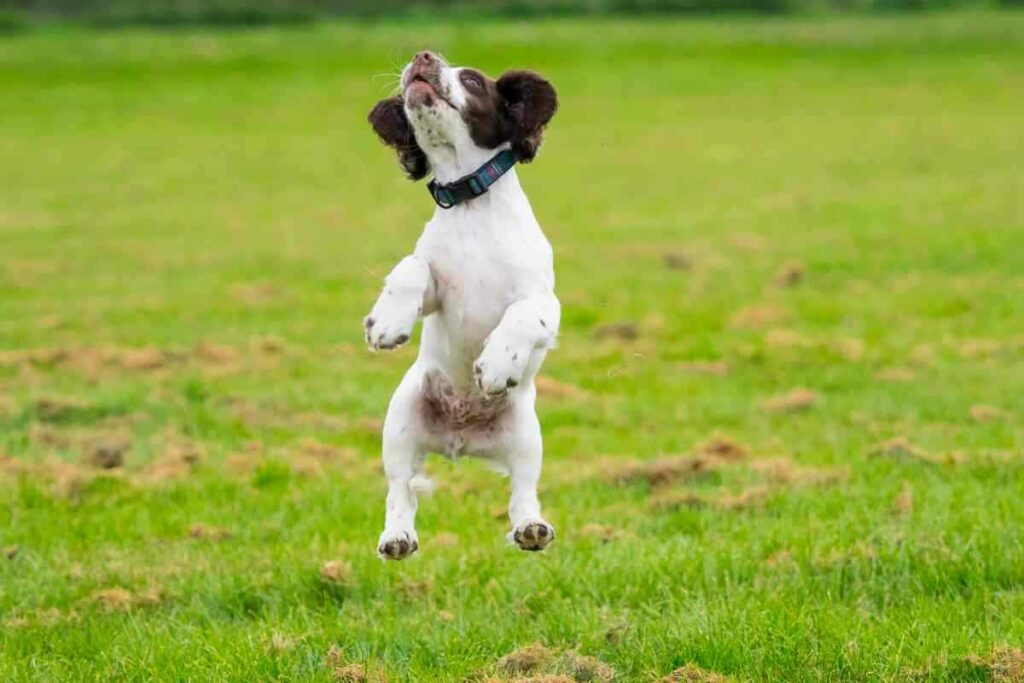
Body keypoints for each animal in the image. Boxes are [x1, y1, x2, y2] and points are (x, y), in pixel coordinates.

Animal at [366, 52, 561, 561]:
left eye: (472, 80)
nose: (423, 57)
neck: (473, 206)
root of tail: (460, 440)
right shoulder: (435, 288)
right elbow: (412, 266)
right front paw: (386, 322)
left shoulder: (544, 303)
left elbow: (521, 315)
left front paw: (496, 363)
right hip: (401, 422)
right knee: (400, 490)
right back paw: (396, 538)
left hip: (526, 436)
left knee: (522, 491)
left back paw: (531, 528)